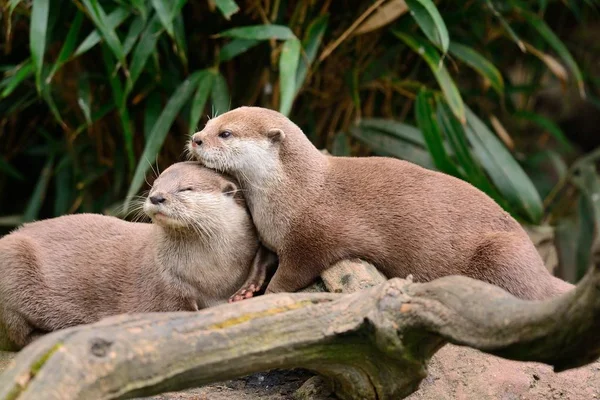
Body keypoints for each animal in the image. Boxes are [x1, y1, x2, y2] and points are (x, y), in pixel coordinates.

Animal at [0, 161, 276, 348]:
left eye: (186, 189)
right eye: (154, 185)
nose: (157, 197)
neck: (211, 275)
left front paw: (248, 292)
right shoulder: (164, 286)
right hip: (12, 265)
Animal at [188, 106, 572, 300]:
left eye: (225, 133)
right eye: (208, 122)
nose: (195, 138)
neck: (294, 194)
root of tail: (540, 267)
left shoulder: (312, 239)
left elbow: (292, 273)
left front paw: (269, 294)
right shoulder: (270, 234)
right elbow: (262, 258)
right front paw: (248, 288)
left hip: (502, 252)